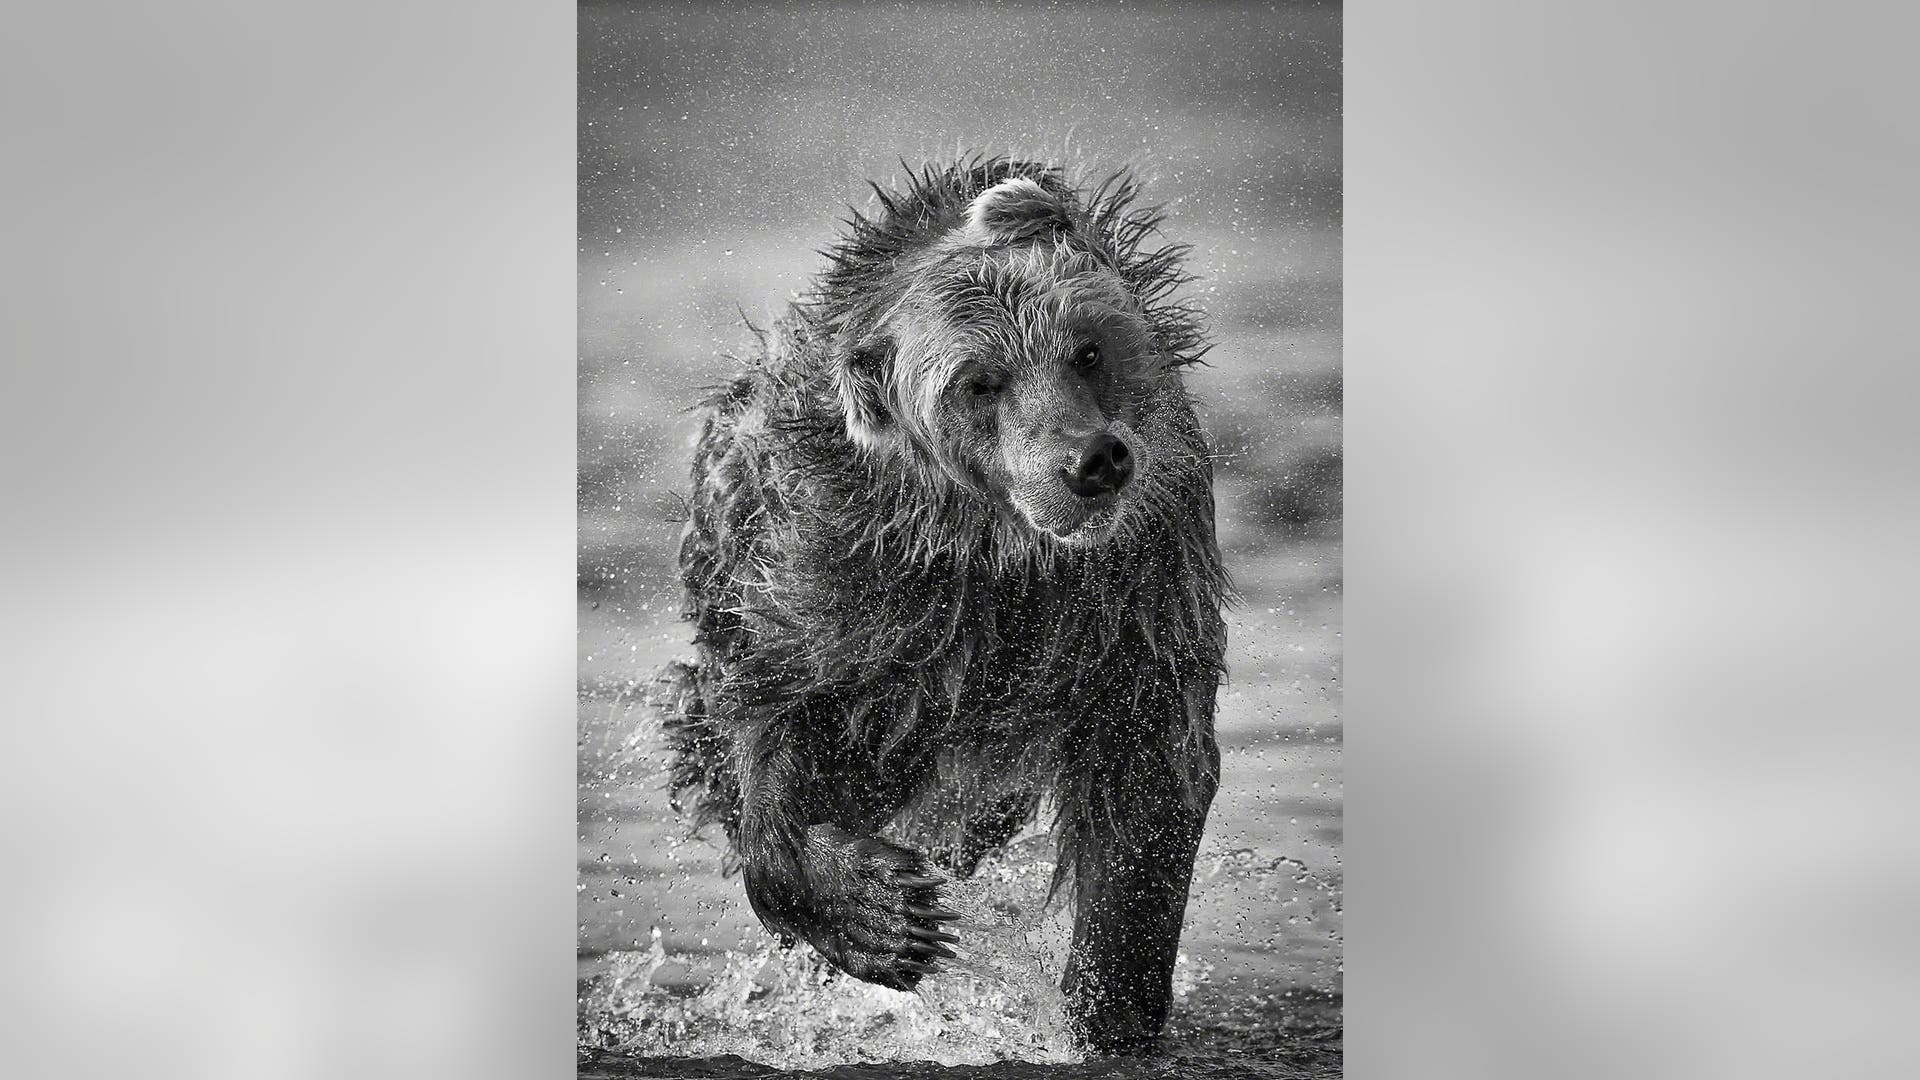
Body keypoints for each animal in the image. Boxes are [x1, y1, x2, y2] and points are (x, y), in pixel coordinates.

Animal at [660, 156, 1229, 1056]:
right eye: (979, 382)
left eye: (1087, 350)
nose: (1091, 460)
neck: (999, 555)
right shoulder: (846, 585)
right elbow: (780, 730)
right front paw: (882, 918)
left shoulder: (1141, 589)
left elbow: (1148, 783)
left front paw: (1106, 1010)